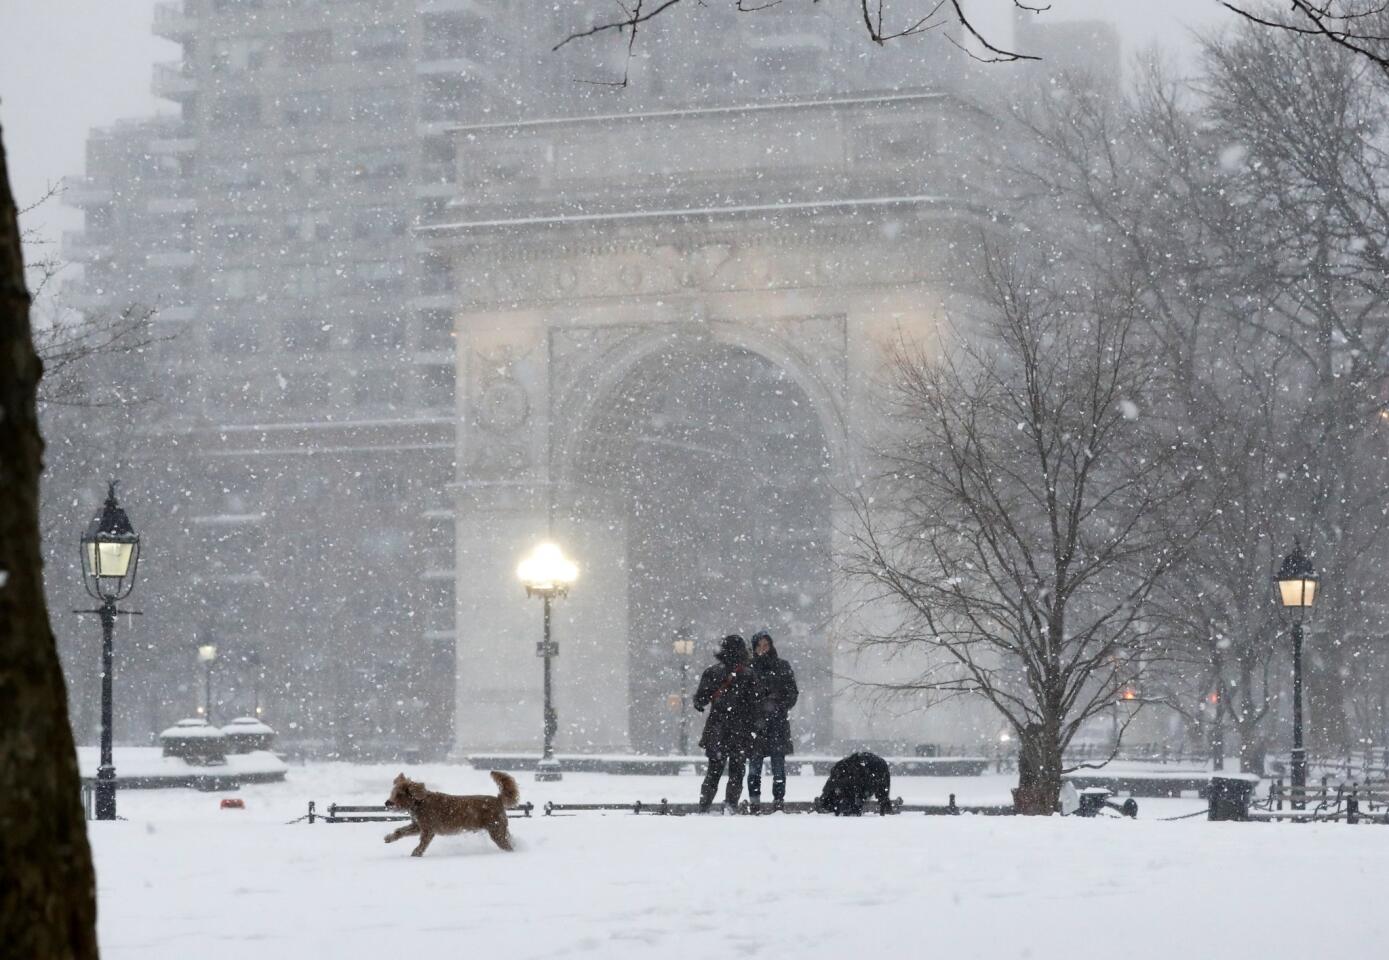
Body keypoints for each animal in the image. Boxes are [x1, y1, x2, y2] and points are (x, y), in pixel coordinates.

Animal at [383, 772, 519, 861]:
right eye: (392, 792)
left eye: (400, 794)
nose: (387, 803)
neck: (420, 802)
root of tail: (498, 799)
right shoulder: (417, 826)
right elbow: (400, 831)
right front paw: (389, 838)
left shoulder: (428, 830)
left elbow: (422, 844)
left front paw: (414, 856)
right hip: (500, 830)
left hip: (496, 831)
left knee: (508, 846)